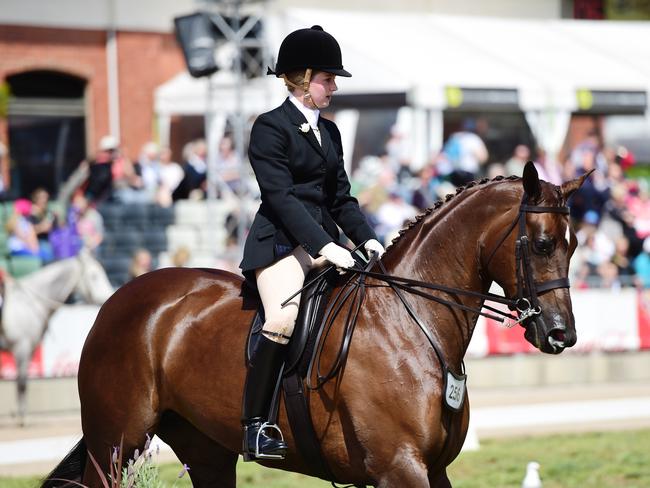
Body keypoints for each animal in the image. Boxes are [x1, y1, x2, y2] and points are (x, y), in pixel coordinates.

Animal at [0, 250, 112, 426]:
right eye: (94, 276)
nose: (109, 295)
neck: (30, 303)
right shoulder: (21, 349)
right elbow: (22, 384)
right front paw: (22, 418)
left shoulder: (27, 350)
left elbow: (22, 384)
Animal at [40, 165, 588, 488]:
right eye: (542, 244)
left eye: (575, 243)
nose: (560, 334)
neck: (414, 324)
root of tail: (119, 298)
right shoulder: (401, 467)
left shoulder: (431, 469)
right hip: (115, 443)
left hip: (205, 448)